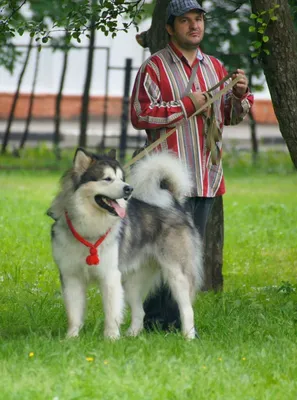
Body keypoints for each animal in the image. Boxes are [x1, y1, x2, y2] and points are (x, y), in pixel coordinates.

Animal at [47, 148, 202, 340]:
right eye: (107, 179)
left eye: (121, 178)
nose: (129, 188)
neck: (89, 227)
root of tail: (174, 204)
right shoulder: (70, 276)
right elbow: (74, 313)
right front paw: (71, 338)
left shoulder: (110, 275)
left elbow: (111, 312)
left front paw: (111, 339)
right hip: (132, 281)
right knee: (140, 311)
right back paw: (132, 335)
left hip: (177, 275)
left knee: (187, 309)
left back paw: (188, 337)